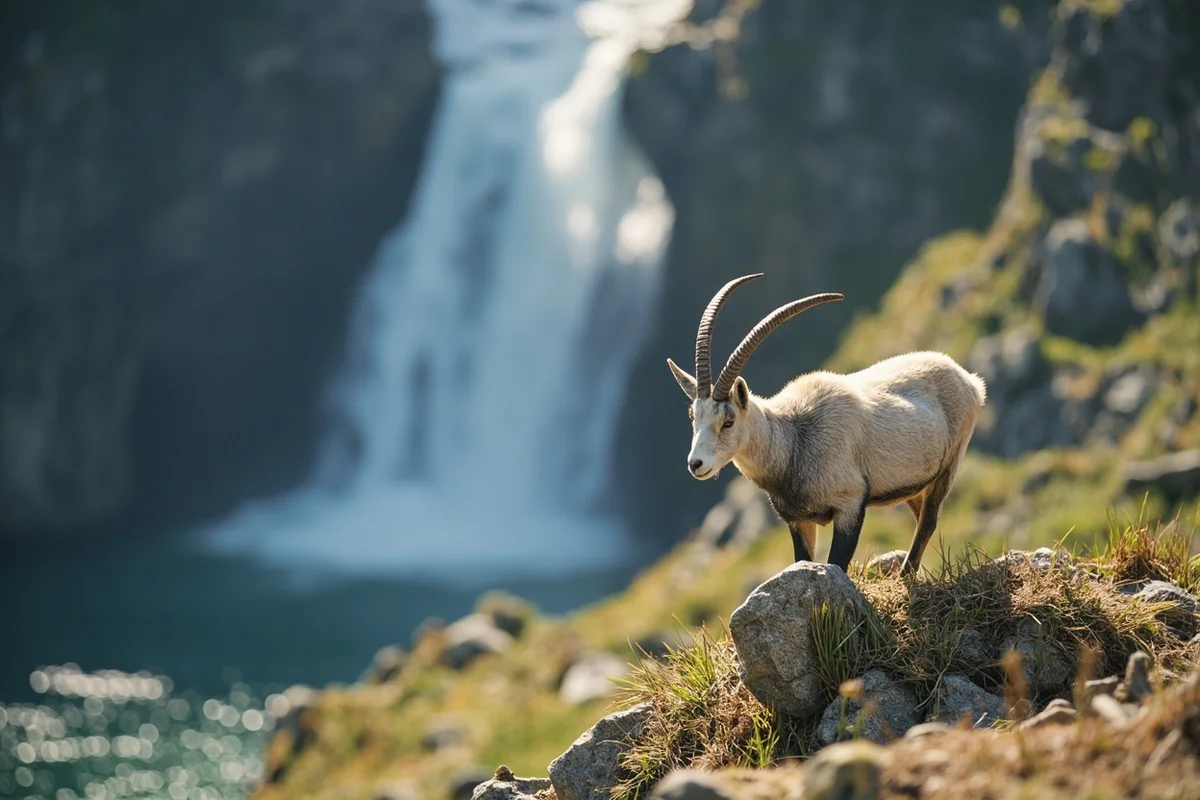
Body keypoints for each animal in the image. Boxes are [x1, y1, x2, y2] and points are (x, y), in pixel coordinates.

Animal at [666, 273, 987, 576]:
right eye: (693, 416)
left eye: (728, 421)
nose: (696, 464)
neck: (794, 437)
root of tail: (969, 380)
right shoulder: (799, 522)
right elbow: (804, 560)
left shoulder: (850, 505)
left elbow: (837, 563)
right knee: (921, 518)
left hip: (948, 468)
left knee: (928, 521)